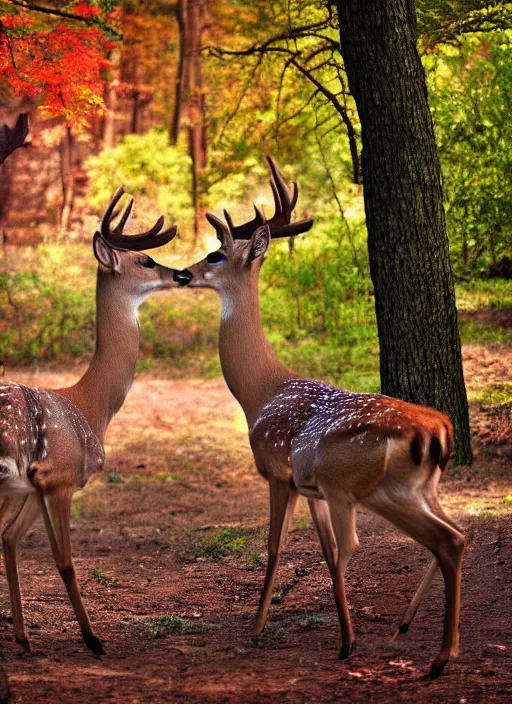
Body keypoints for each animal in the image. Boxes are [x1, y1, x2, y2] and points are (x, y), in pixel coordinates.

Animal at [0, 188, 181, 656]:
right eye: (146, 261)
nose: (183, 274)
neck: (90, 405)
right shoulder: (58, 478)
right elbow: (64, 561)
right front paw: (92, 638)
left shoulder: (31, 486)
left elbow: (9, 539)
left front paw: (24, 637)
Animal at [174, 157, 466, 680]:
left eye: (216, 254)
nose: (184, 274)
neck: (261, 390)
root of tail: (438, 429)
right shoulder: (308, 487)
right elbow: (325, 551)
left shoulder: (277, 472)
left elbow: (277, 547)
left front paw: (257, 627)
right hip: (415, 487)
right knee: (457, 533)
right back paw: (404, 629)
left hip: (360, 485)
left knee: (423, 541)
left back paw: (419, 654)